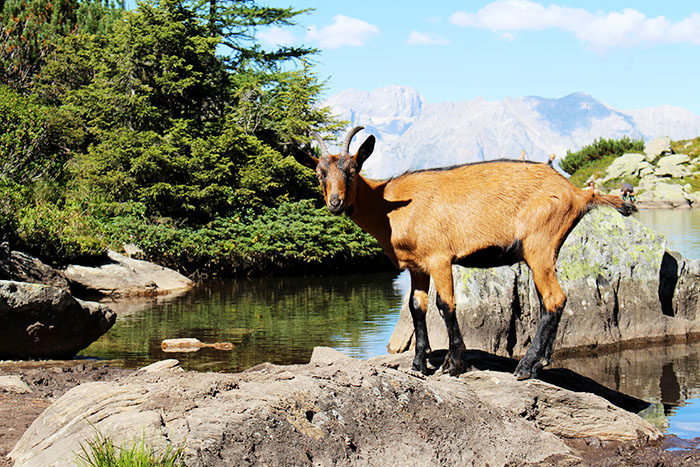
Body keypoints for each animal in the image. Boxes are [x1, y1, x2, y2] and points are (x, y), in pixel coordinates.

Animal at [296, 127, 636, 380]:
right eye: (319, 174)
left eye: (353, 171)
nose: (336, 203)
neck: (388, 205)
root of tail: (578, 193)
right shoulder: (416, 266)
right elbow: (417, 307)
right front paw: (418, 365)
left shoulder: (439, 258)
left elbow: (445, 305)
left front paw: (455, 363)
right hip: (543, 251)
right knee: (548, 301)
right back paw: (540, 362)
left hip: (540, 243)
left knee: (555, 298)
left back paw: (525, 367)